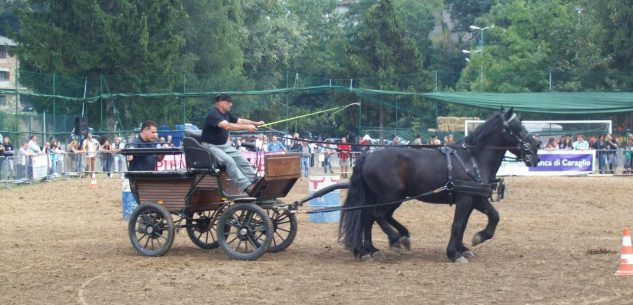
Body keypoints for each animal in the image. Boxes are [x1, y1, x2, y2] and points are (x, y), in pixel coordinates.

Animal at [338, 107, 540, 262]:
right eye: (516, 128)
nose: (536, 150)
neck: (473, 159)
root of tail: (368, 155)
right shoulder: (465, 199)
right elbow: (457, 225)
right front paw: (454, 253)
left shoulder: (476, 198)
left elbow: (491, 217)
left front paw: (471, 243)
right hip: (390, 196)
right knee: (377, 215)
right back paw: (394, 239)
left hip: (383, 197)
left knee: (367, 218)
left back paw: (368, 250)